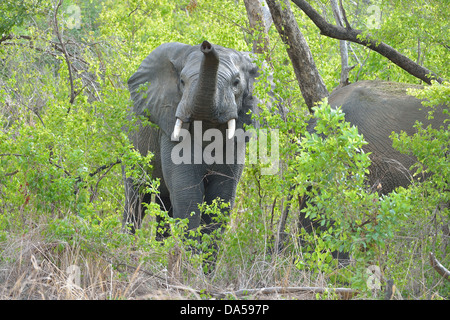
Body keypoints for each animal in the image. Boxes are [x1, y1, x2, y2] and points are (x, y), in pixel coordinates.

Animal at [122, 40, 256, 240]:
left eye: (236, 83)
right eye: (182, 82)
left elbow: (221, 194)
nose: (206, 45)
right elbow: (187, 193)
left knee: (164, 202)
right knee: (136, 195)